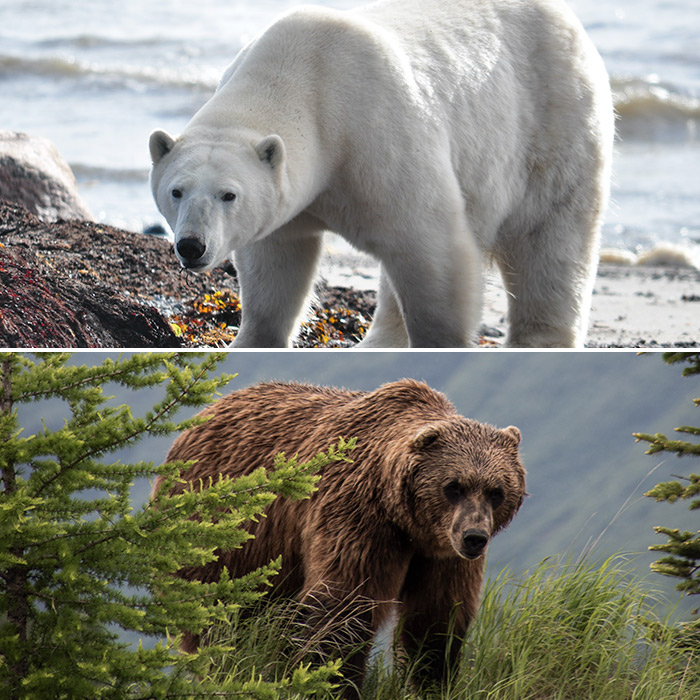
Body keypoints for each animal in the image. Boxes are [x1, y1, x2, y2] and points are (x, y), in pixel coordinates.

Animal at [149, 0, 613, 349]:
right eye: (176, 191)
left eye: (228, 195)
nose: (192, 246)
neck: (307, 80)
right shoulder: (291, 200)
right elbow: (277, 264)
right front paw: (251, 341)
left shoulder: (377, 137)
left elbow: (431, 246)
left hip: (552, 120)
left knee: (549, 238)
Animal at [157, 379, 526, 696]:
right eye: (454, 486)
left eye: (496, 491)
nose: (474, 537)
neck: (406, 520)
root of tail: (202, 415)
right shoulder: (358, 519)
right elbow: (343, 606)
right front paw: (334, 683)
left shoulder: (441, 555)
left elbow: (436, 620)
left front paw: (432, 682)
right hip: (223, 537)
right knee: (219, 618)